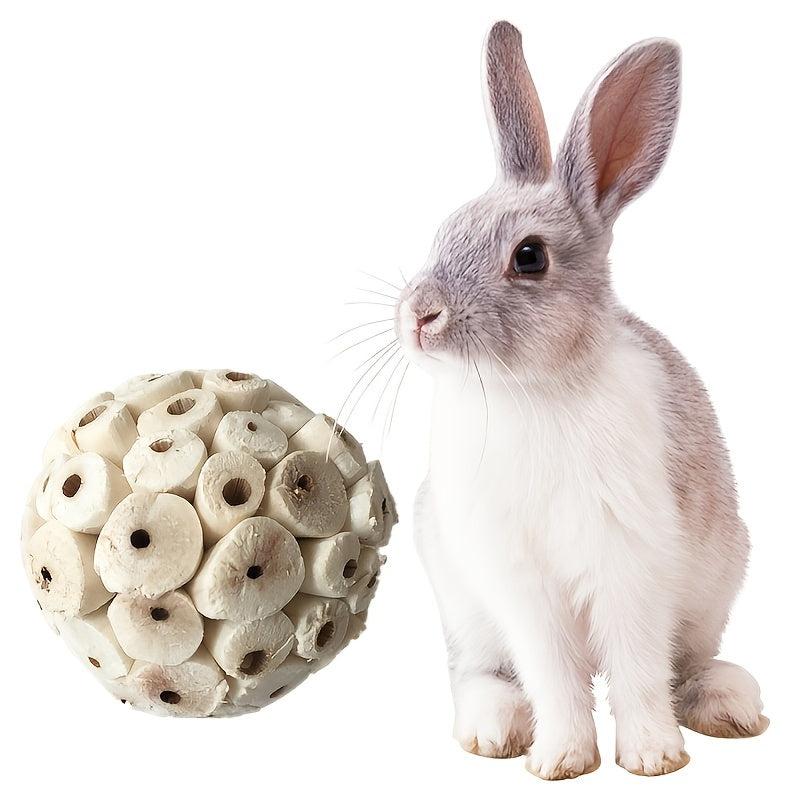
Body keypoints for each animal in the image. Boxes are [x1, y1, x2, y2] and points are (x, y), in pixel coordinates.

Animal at [395, 21, 768, 779]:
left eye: (529, 256)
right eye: (444, 230)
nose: (418, 315)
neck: (532, 390)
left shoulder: (631, 564)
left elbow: (637, 668)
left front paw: (653, 758)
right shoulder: (520, 583)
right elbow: (553, 673)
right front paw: (561, 760)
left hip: (715, 588)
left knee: (687, 664)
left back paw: (730, 705)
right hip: (463, 604)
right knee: (480, 672)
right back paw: (493, 730)